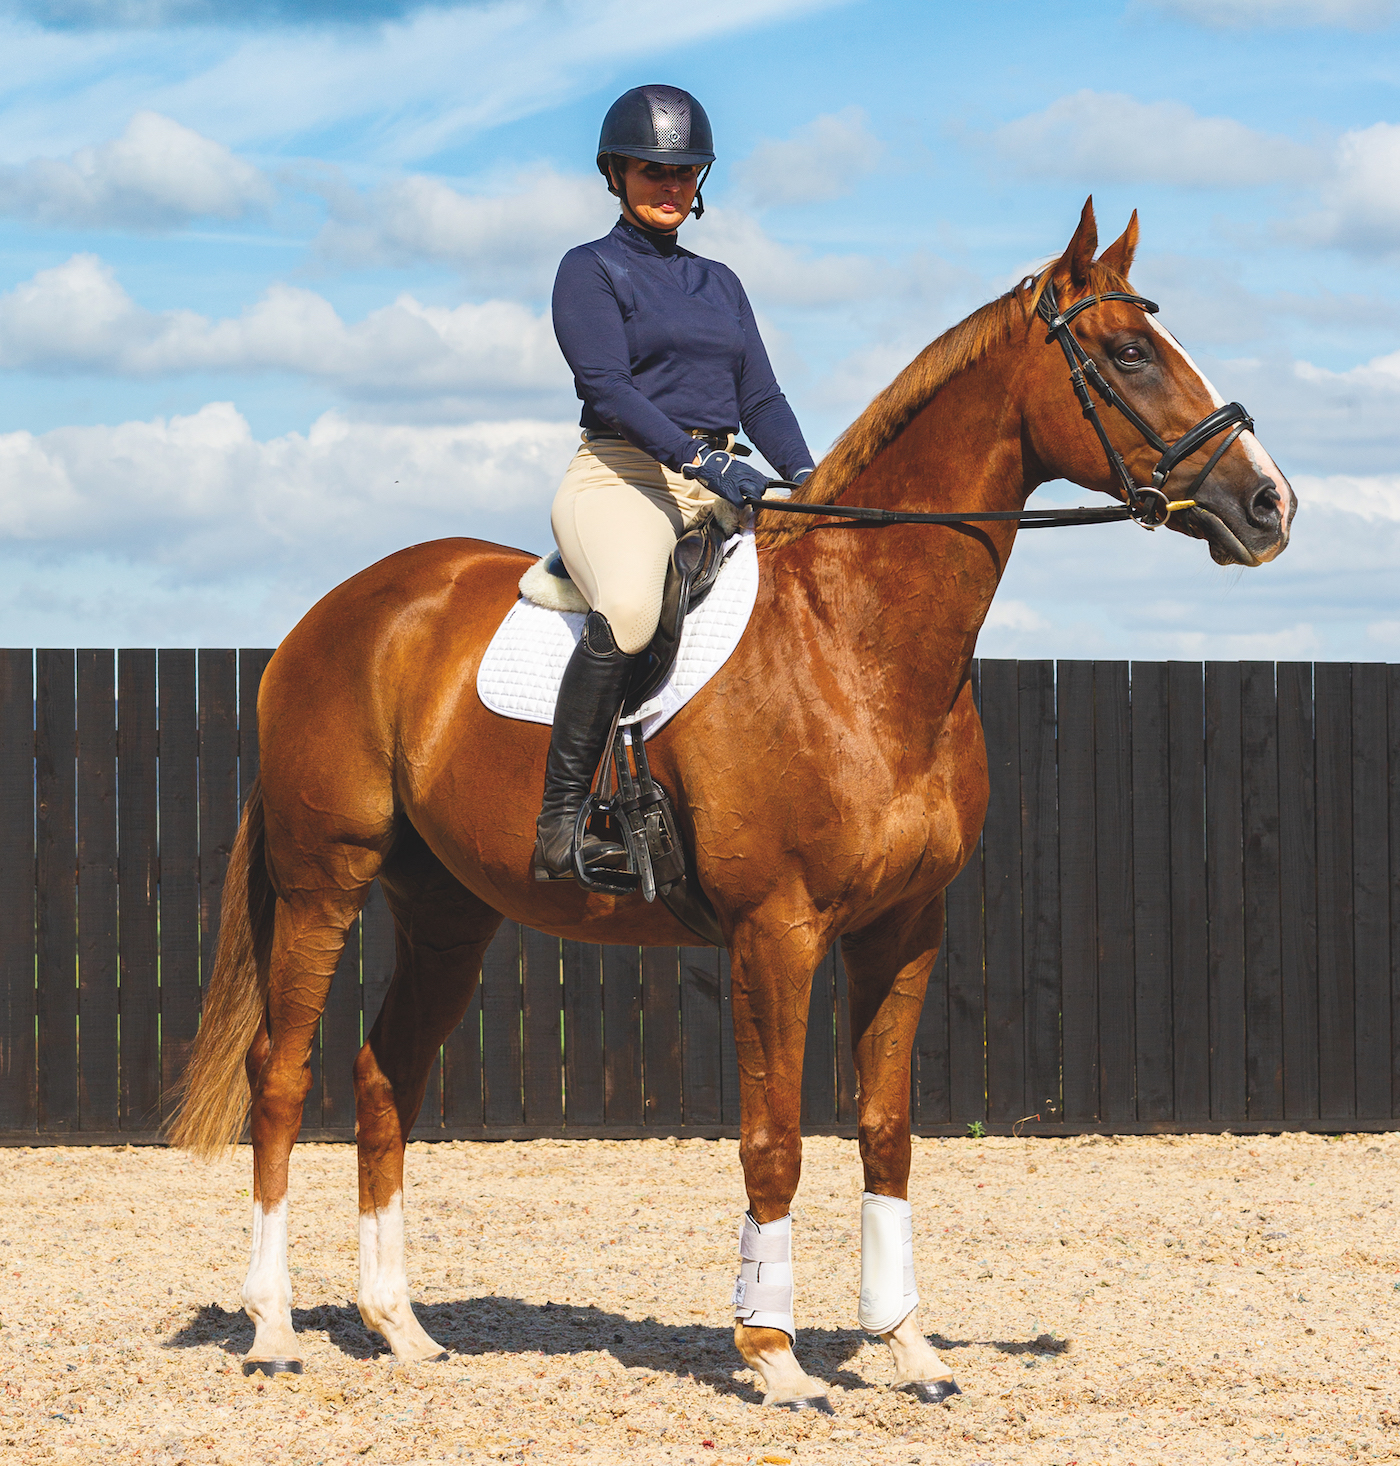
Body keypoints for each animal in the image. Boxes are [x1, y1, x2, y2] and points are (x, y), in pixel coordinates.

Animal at [171, 199, 1293, 1409]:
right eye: (1127, 353)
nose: (1269, 504)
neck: (855, 639)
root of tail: (336, 611)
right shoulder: (777, 931)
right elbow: (774, 1139)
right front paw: (775, 1355)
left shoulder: (904, 929)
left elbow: (886, 1131)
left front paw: (907, 1345)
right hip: (321, 882)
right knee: (282, 1076)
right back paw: (273, 1326)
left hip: (448, 912)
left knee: (387, 1076)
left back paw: (401, 1326)